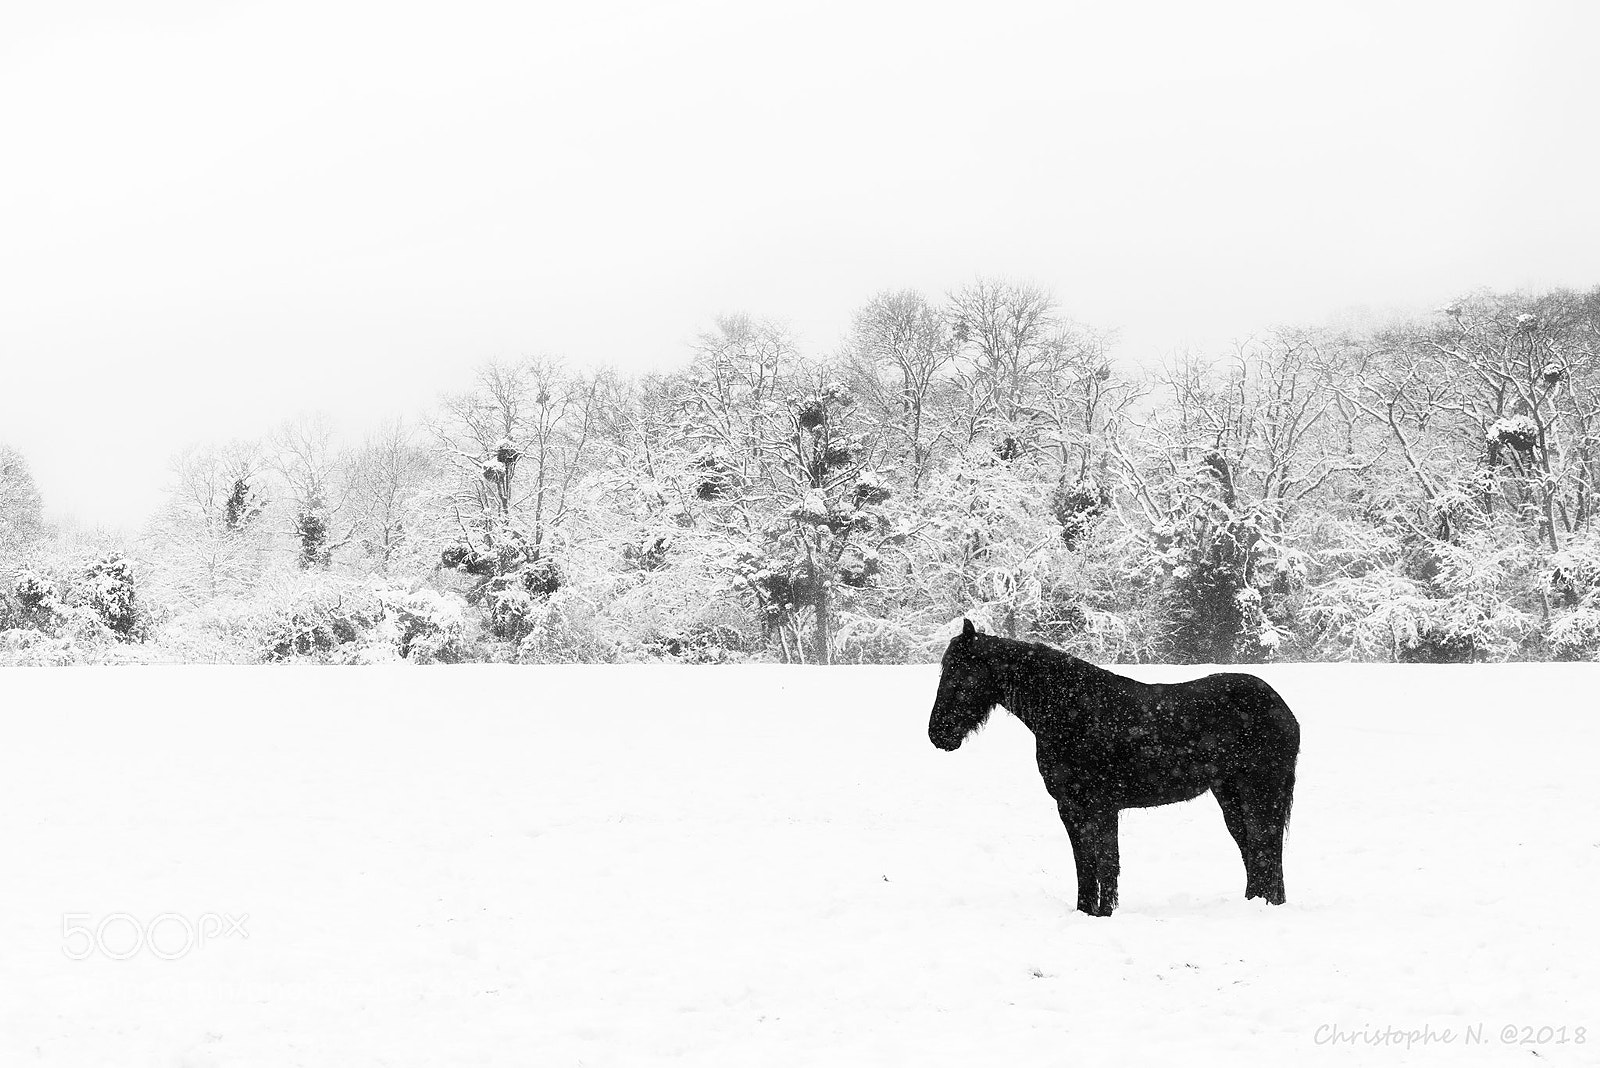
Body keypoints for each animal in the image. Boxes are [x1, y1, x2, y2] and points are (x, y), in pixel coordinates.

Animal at [927, 619, 1300, 917]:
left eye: (961, 674)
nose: (937, 733)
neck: (1073, 710)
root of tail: (1283, 709)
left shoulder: (1100, 806)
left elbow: (1105, 862)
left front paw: (1104, 913)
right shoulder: (1073, 808)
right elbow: (1086, 863)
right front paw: (1086, 911)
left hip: (1259, 793)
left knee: (1265, 846)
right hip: (1231, 796)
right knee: (1254, 848)